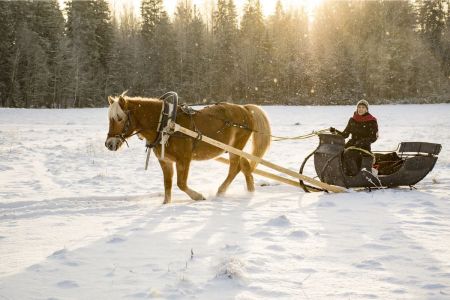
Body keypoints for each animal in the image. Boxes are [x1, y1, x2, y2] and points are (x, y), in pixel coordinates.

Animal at [105, 95, 270, 204]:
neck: (166, 124)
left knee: (235, 168)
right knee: (245, 165)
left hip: (236, 147)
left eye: (119, 118)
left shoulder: (184, 159)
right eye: (110, 119)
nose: (109, 144)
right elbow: (167, 185)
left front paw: (198, 196)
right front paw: (166, 204)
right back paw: (250, 192)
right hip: (233, 149)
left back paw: (221, 191)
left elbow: (181, 184)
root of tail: (245, 108)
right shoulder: (165, 161)